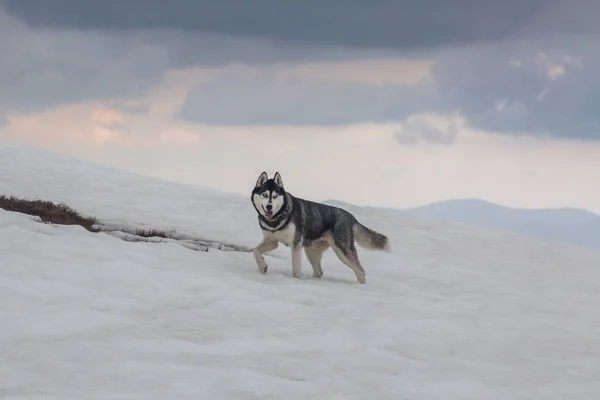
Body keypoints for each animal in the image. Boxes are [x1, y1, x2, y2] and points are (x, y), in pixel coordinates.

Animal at [251, 172, 392, 284]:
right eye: (264, 195)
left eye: (275, 196)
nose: (269, 207)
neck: (276, 219)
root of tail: (350, 216)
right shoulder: (272, 241)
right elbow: (255, 250)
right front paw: (262, 267)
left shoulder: (295, 245)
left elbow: (296, 269)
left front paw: (296, 281)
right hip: (311, 251)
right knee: (319, 271)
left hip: (342, 252)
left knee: (360, 271)